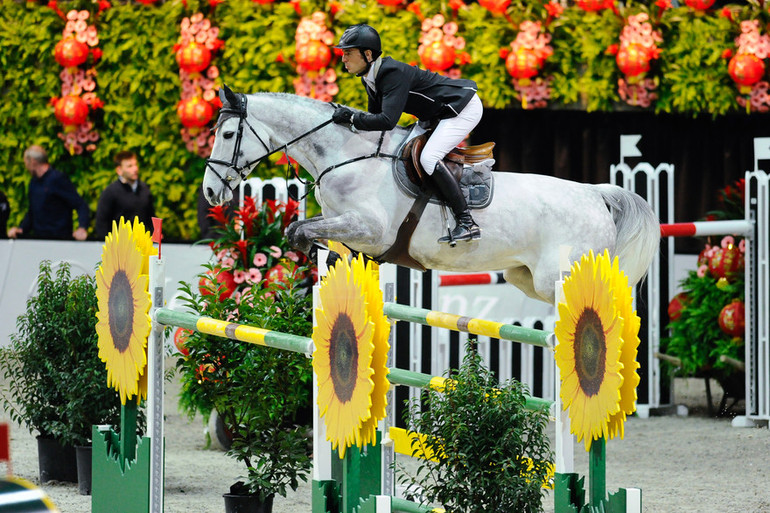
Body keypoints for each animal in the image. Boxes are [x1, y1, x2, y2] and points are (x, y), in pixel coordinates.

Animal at [201, 86, 656, 304]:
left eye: (228, 134)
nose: (208, 190)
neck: (345, 155)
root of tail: (595, 194)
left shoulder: (370, 230)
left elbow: (301, 230)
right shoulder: (344, 226)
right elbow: (310, 233)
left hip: (558, 275)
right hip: (524, 276)